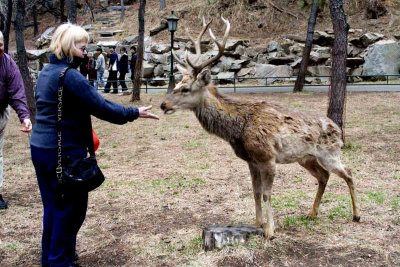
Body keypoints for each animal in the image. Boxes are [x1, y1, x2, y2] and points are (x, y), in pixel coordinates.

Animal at [161, 18, 360, 241]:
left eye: (185, 89)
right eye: (176, 84)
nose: (163, 105)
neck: (239, 129)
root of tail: (338, 129)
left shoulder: (267, 157)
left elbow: (267, 193)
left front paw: (270, 231)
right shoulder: (251, 160)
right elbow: (255, 192)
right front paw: (257, 224)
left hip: (329, 153)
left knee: (348, 172)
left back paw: (356, 215)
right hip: (306, 158)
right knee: (324, 176)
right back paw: (312, 213)